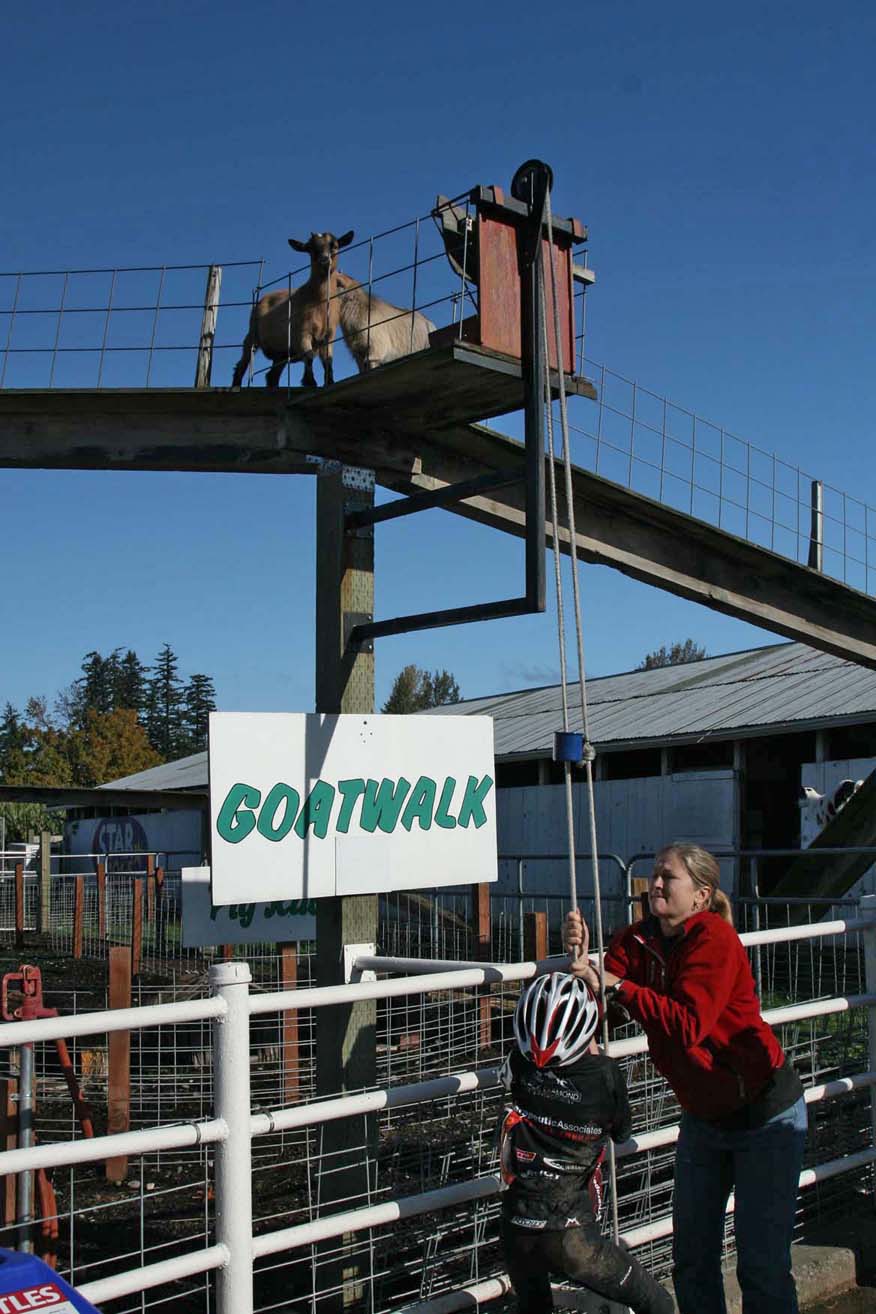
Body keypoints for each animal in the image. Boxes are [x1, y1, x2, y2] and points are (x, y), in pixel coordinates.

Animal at [235, 231, 357, 386]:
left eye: (334, 246)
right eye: (311, 249)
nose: (324, 261)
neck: (319, 302)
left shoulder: (329, 335)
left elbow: (328, 361)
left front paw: (329, 381)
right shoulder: (302, 332)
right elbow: (309, 357)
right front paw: (310, 382)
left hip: (280, 353)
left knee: (272, 376)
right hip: (253, 335)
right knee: (242, 363)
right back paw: (235, 385)